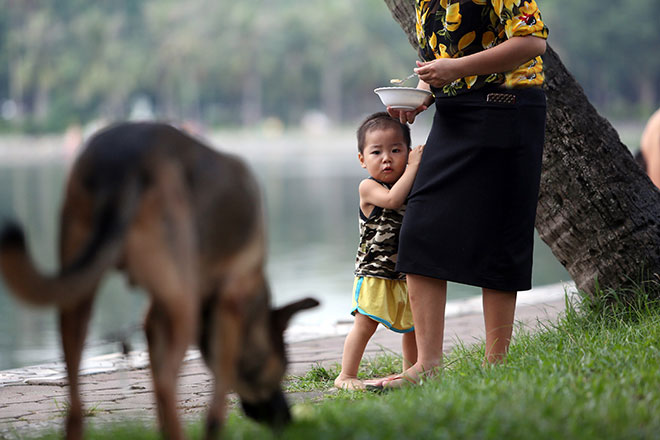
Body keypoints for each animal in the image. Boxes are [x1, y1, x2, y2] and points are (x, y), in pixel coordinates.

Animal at [0, 121, 320, 440]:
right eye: (282, 369)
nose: (287, 417)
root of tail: (123, 162)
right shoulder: (230, 304)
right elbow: (218, 395)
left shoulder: (154, 316)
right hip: (182, 307)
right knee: (165, 385)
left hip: (77, 298)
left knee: (77, 404)